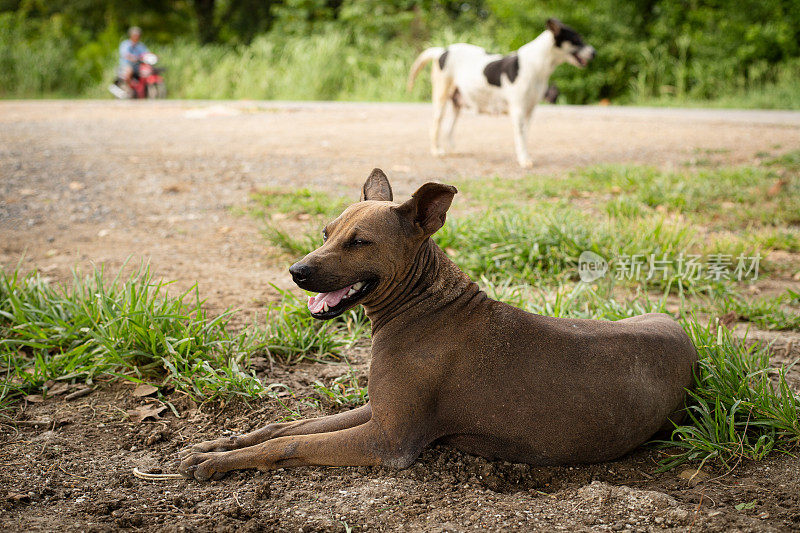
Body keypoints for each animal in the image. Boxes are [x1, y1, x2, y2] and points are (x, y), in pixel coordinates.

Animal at [178, 168, 696, 480]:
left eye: (359, 242)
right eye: (326, 233)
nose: (296, 271)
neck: (423, 306)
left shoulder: (387, 441)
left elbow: (288, 446)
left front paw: (222, 462)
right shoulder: (379, 412)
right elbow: (287, 427)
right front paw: (222, 444)